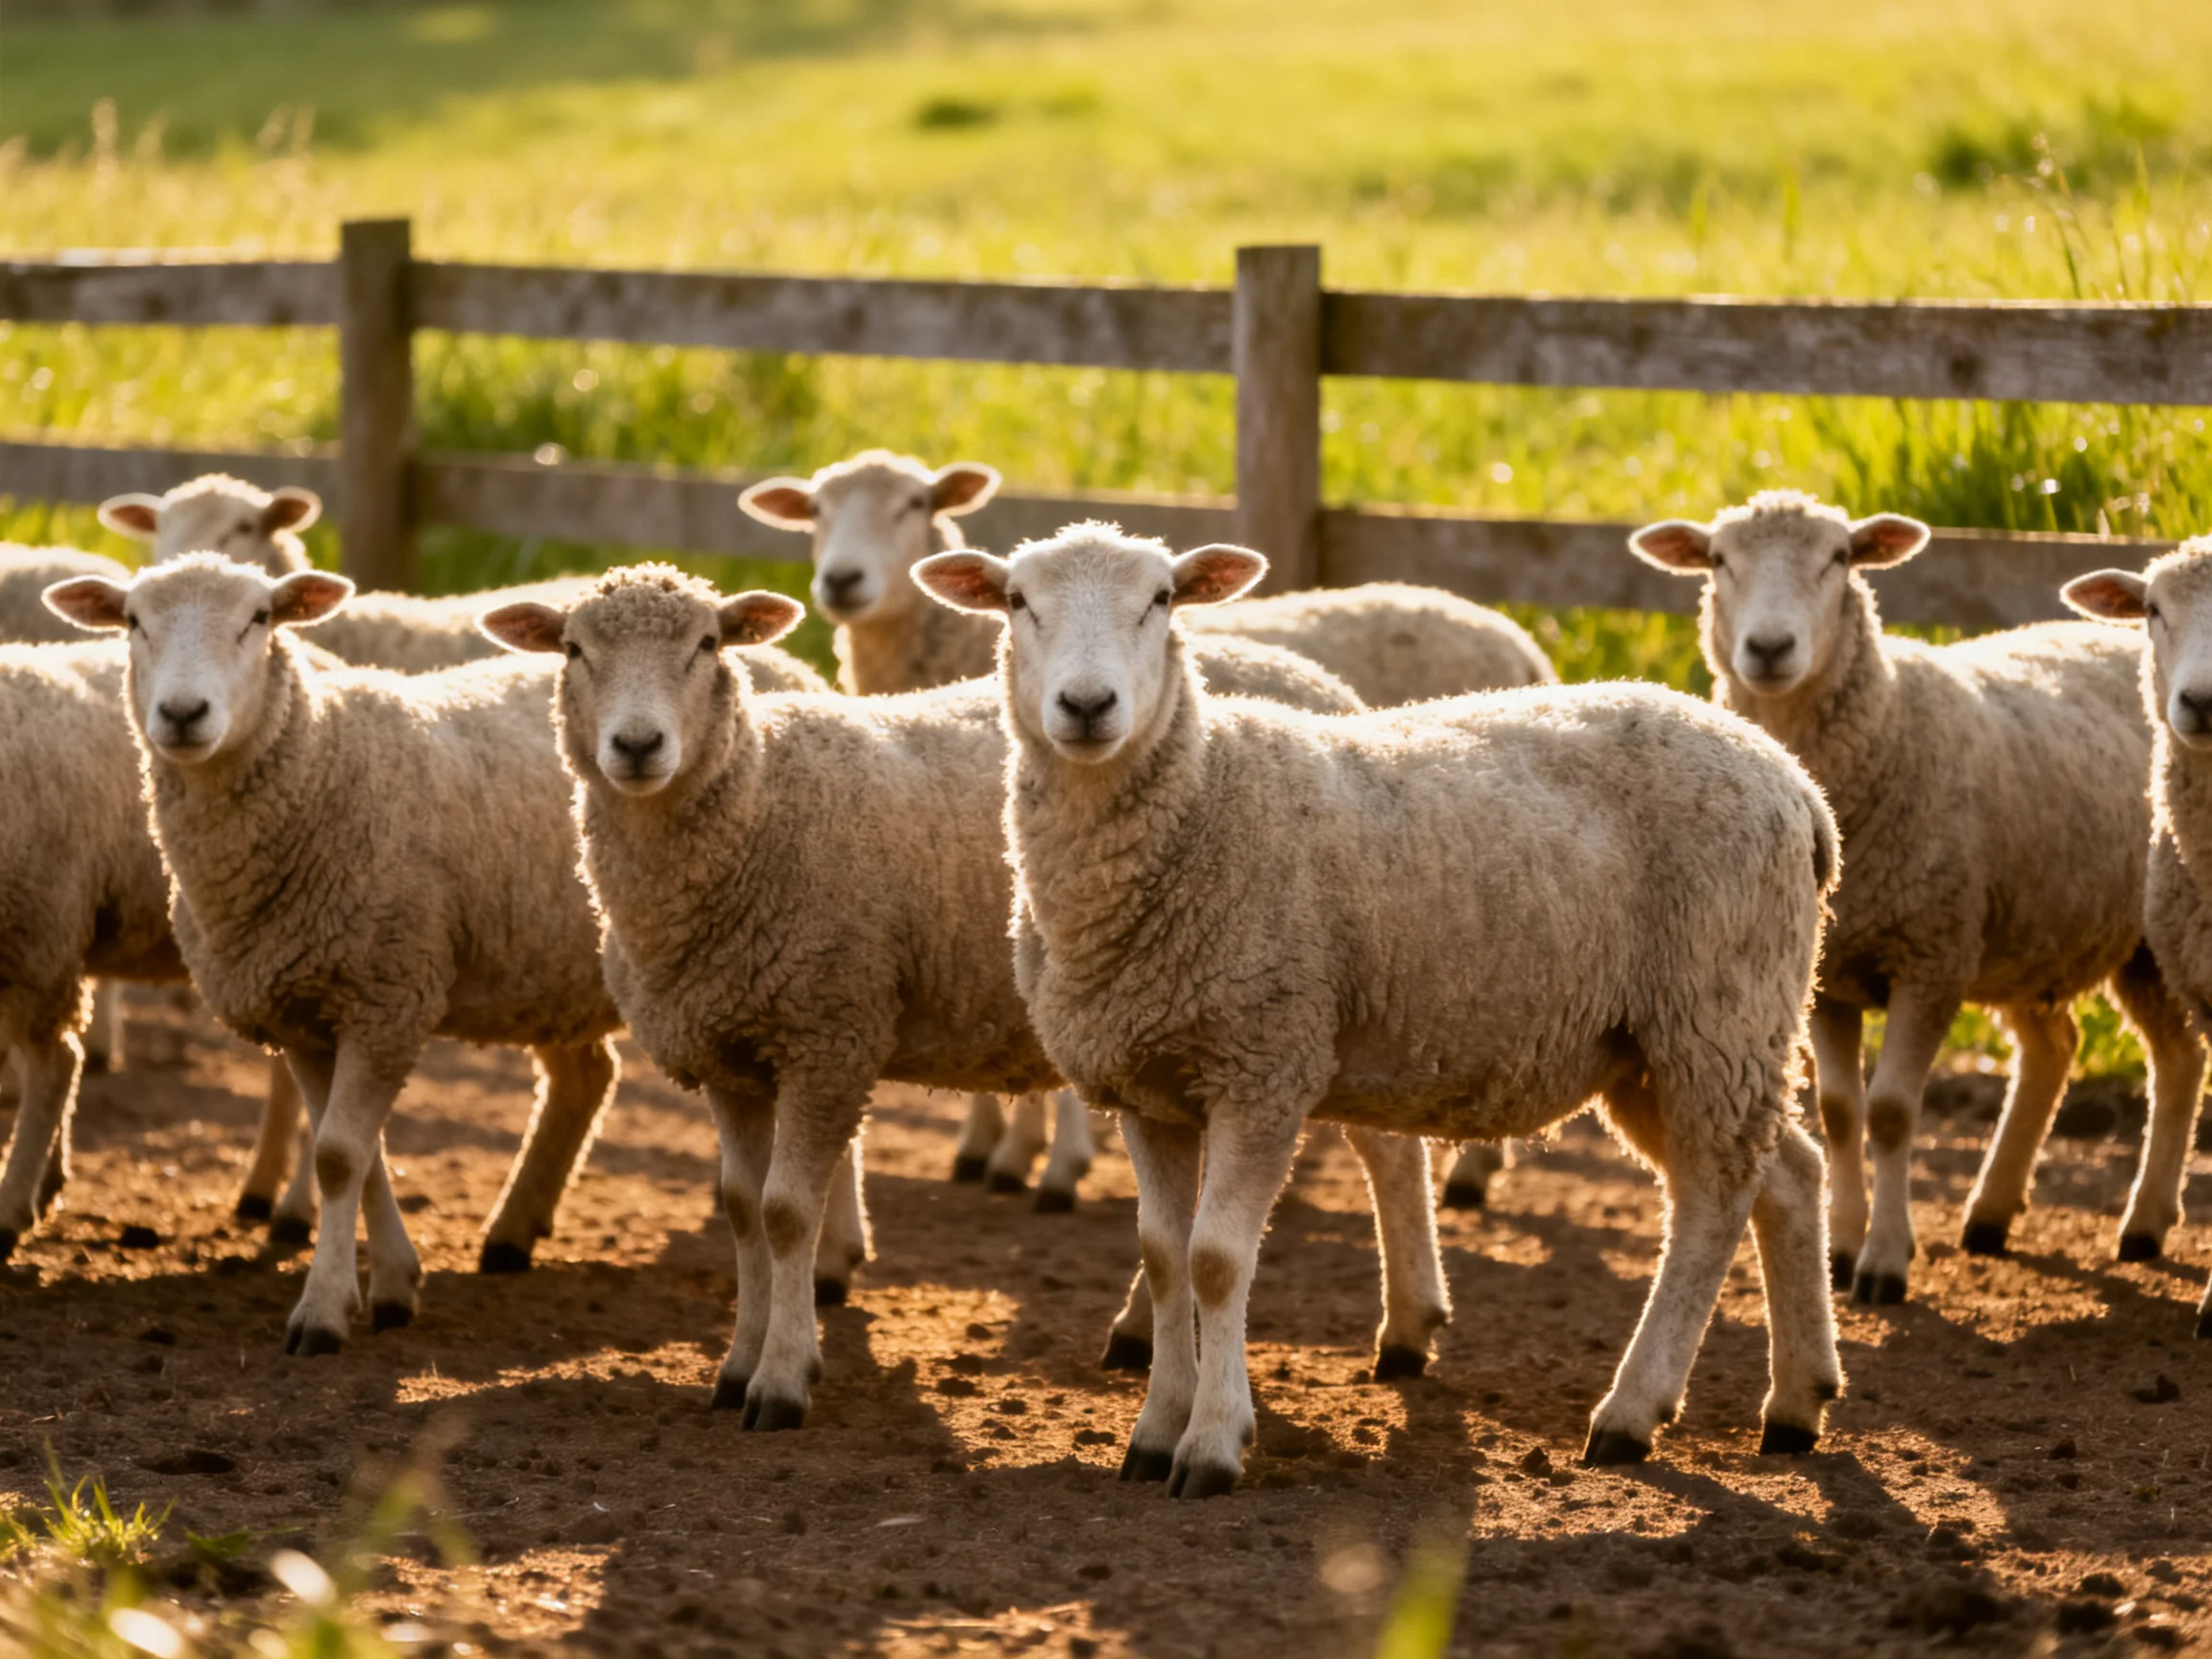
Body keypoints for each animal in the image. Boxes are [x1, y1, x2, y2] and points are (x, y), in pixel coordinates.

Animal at [44, 557, 632, 1354]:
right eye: (134, 621)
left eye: (259, 618)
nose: (183, 713)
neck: (322, 765)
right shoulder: (305, 1010)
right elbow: (357, 1152)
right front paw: (391, 1285)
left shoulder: (386, 995)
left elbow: (338, 1155)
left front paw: (321, 1313)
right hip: (549, 969)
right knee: (585, 1078)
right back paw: (512, 1234)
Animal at [477, 564, 1456, 1427]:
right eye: (573, 650)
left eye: (708, 645)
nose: (638, 747)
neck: (756, 799)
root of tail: (1323, 685)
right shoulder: (734, 1051)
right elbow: (743, 1213)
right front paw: (739, 1364)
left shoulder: (829, 1028)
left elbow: (789, 1215)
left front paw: (782, 1381)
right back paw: (1149, 1333)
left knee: (1387, 1153)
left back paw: (1407, 1329)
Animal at [912, 523, 1843, 1495]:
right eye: (1018, 602)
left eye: (1161, 599)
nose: (1088, 705)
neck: (1202, 800)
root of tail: (1794, 783)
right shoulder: (1150, 1081)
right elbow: (1164, 1259)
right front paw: (1155, 1431)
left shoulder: (1264, 1064)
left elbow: (1216, 1260)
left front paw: (1212, 1444)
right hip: (1664, 1045)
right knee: (1786, 1174)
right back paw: (1795, 1404)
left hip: (1716, 1006)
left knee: (1715, 1196)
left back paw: (1630, 1413)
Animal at [1630, 490, 2202, 1307]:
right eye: (1717, 560)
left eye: (1839, 558)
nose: (1768, 648)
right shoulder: (1831, 975)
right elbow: (1841, 1114)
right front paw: (1840, 1248)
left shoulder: (1931, 958)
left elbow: (1894, 1113)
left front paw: (1884, 1263)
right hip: (2036, 929)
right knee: (2058, 1048)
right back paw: (1993, 1213)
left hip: (2143, 938)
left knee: (2177, 1058)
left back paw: (2145, 1224)